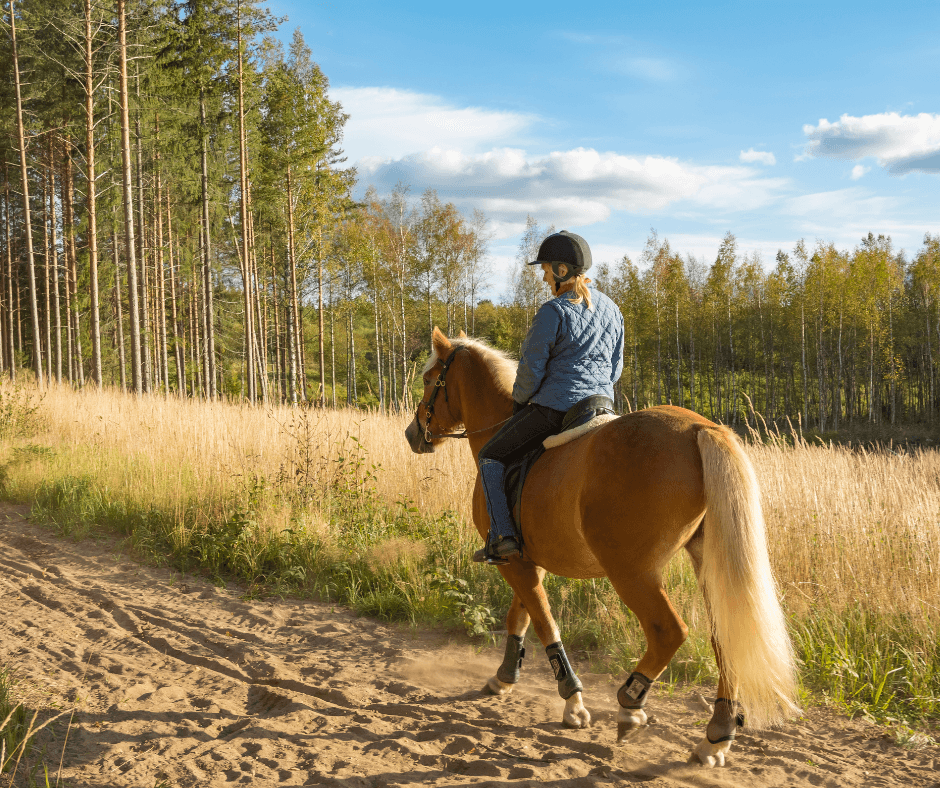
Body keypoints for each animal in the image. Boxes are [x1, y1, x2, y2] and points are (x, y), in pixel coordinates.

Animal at [404, 328, 799, 768]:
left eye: (429, 379)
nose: (413, 434)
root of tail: (700, 428)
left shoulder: (513, 561)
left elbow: (544, 622)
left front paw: (573, 702)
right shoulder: (526, 560)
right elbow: (521, 616)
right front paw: (504, 677)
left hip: (631, 572)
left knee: (668, 632)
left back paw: (631, 704)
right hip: (707, 566)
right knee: (726, 638)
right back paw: (716, 736)